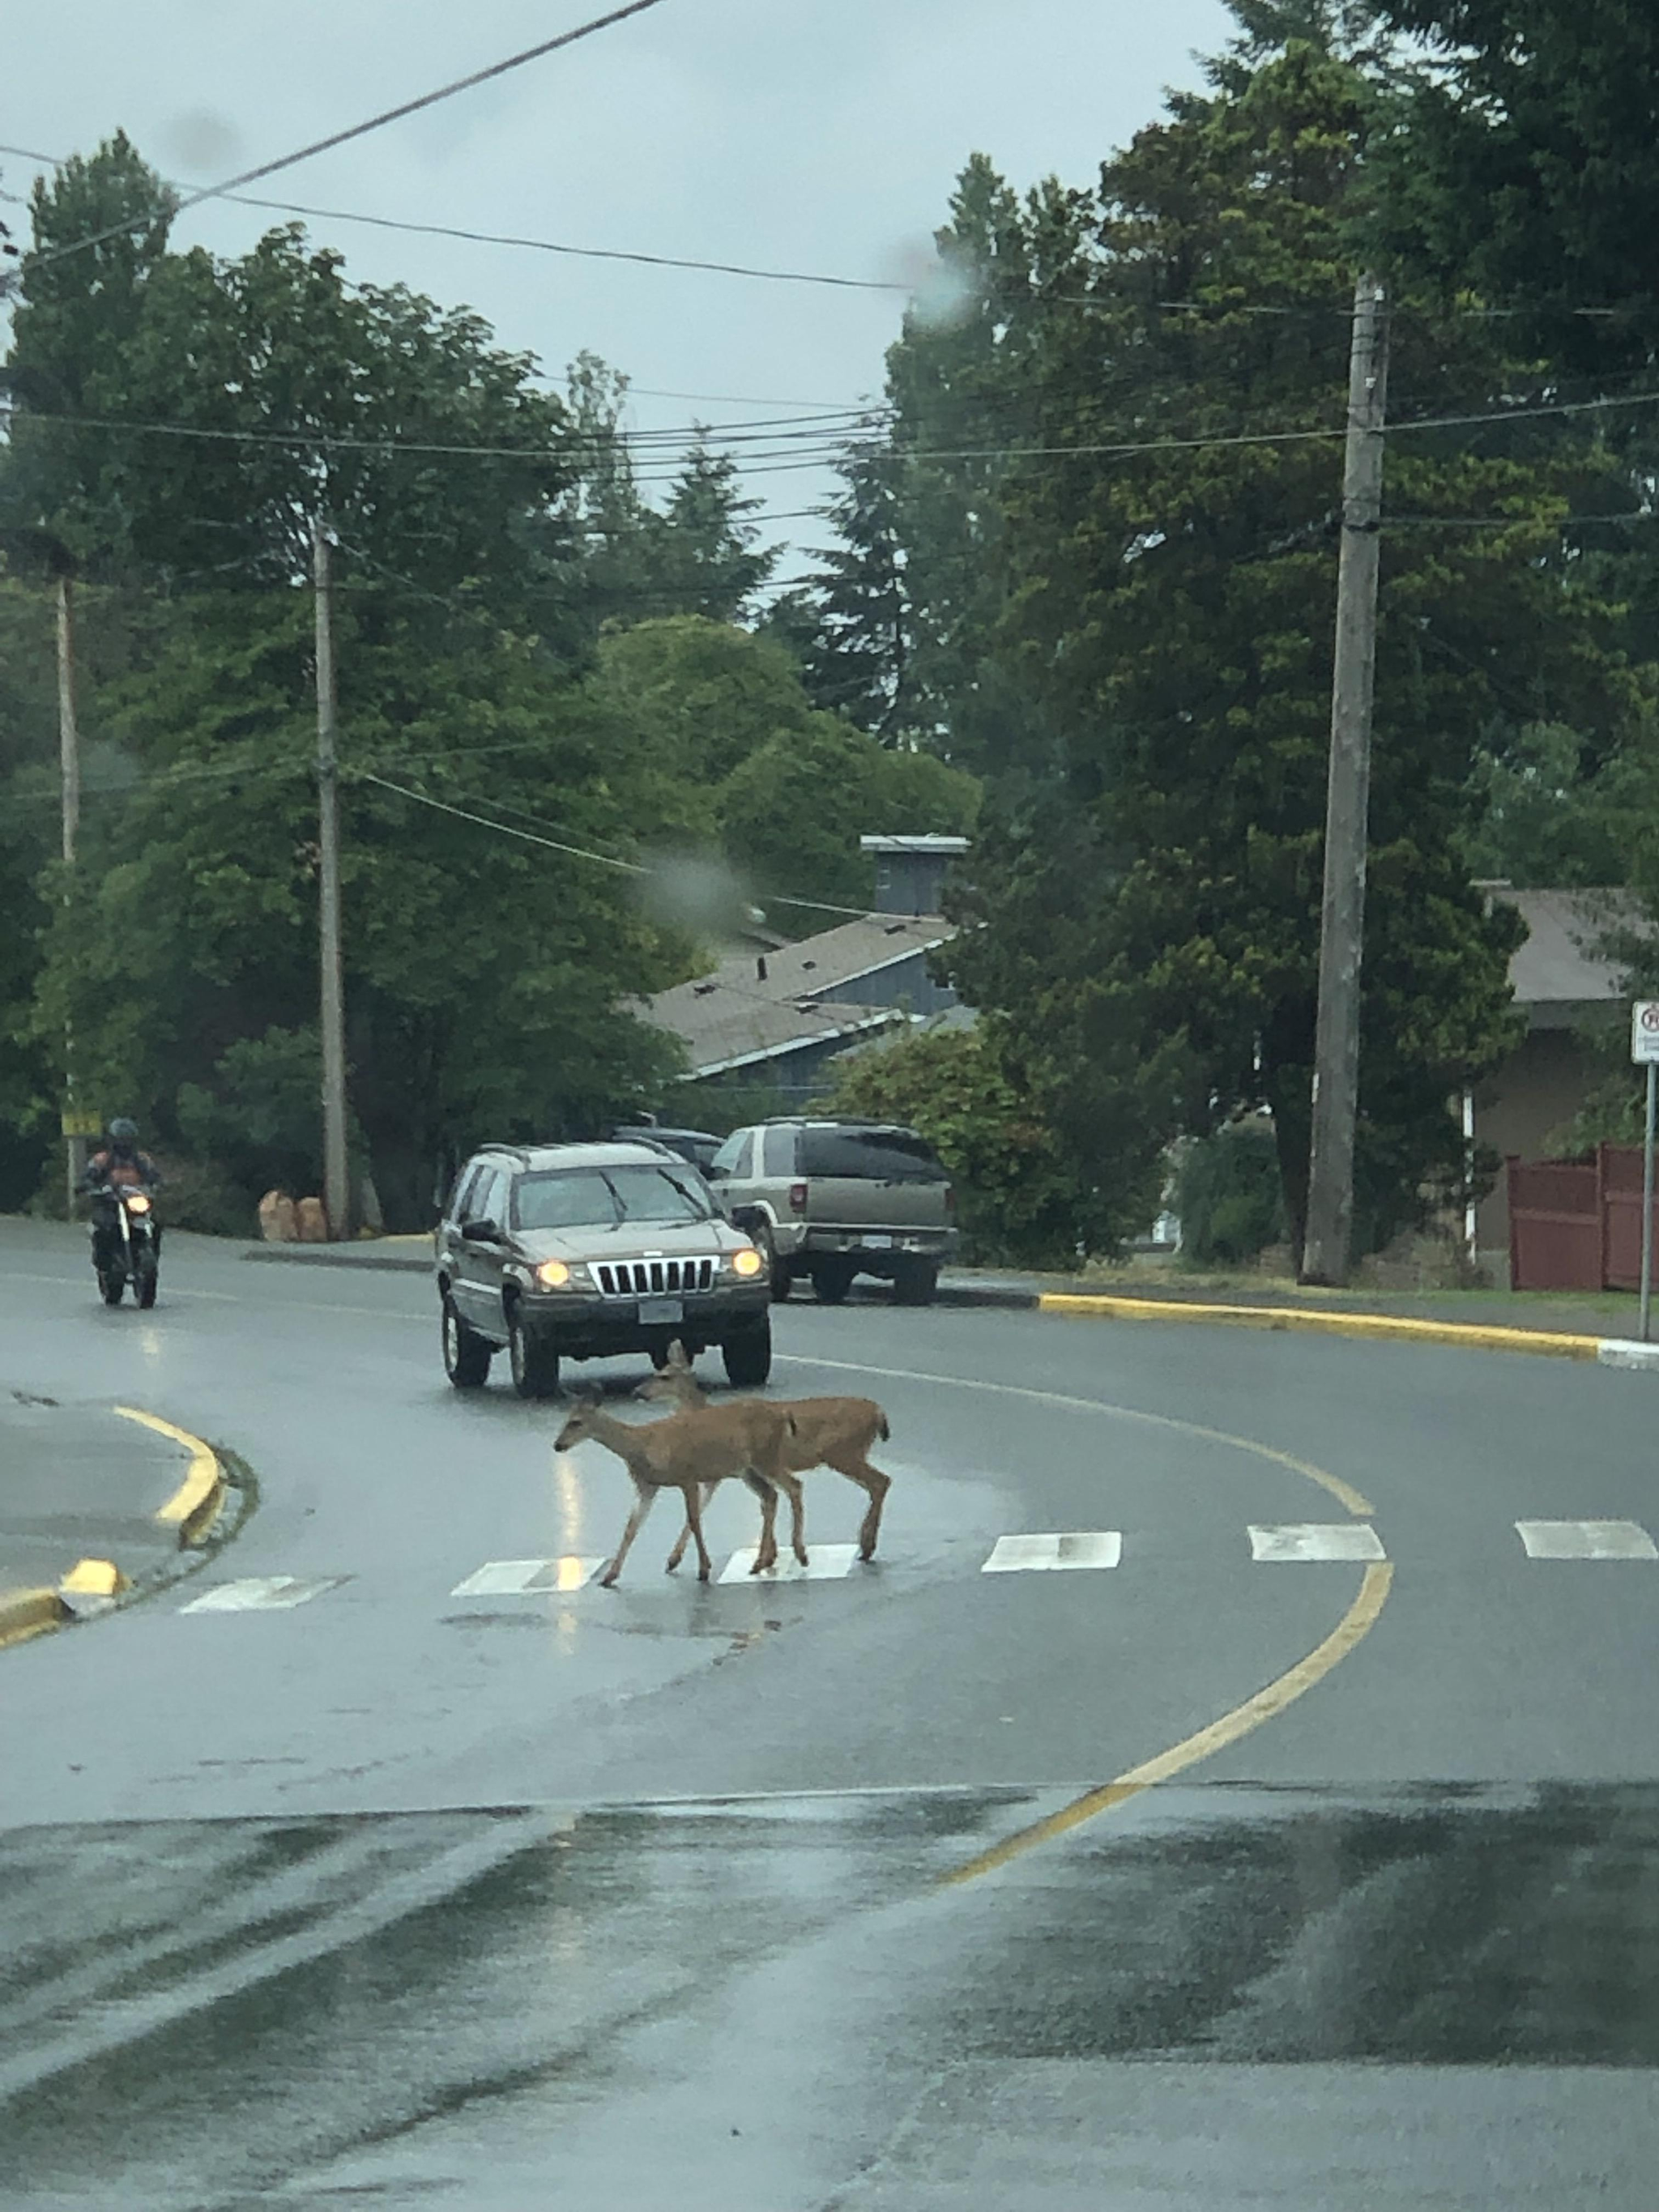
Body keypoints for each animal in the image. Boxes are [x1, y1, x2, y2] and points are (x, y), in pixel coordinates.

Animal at [555, 1380, 809, 1592]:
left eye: (577, 1422)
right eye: (566, 1418)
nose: (557, 1445)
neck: (642, 1445)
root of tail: (783, 1413)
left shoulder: (687, 1476)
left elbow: (694, 1520)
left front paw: (704, 1569)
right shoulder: (646, 1487)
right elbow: (631, 1528)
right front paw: (609, 1576)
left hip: (766, 1457)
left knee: (794, 1486)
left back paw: (800, 1554)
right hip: (747, 1469)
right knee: (771, 1495)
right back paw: (760, 1562)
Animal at [637, 1336, 898, 1566]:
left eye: (664, 1376)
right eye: (657, 1372)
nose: (638, 1392)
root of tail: (879, 1412)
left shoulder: (720, 1474)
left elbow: (701, 1509)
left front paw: (673, 1560)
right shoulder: (742, 1472)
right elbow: (765, 1502)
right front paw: (770, 1554)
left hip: (842, 1453)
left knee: (880, 1481)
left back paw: (864, 1546)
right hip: (849, 1454)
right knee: (877, 1484)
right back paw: (865, 1546)